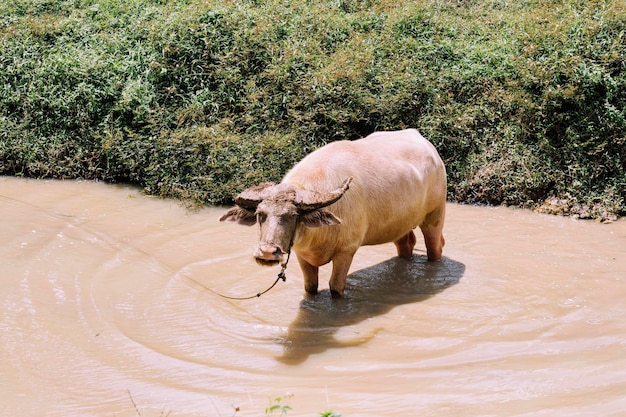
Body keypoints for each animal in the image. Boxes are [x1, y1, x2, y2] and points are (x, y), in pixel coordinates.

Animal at [219, 128, 444, 294]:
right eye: (260, 214)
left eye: (293, 216)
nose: (267, 252)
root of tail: (430, 148)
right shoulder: (302, 256)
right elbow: (310, 288)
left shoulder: (347, 251)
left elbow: (335, 288)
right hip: (399, 224)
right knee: (406, 244)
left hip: (435, 215)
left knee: (435, 246)